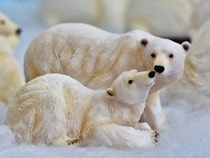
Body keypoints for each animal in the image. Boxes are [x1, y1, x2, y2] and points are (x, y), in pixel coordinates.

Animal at [23, 22, 190, 130]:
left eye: (171, 55)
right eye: (153, 54)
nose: (158, 68)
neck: (137, 55)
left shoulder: (152, 89)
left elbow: (152, 108)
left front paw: (163, 128)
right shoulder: (120, 64)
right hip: (46, 60)